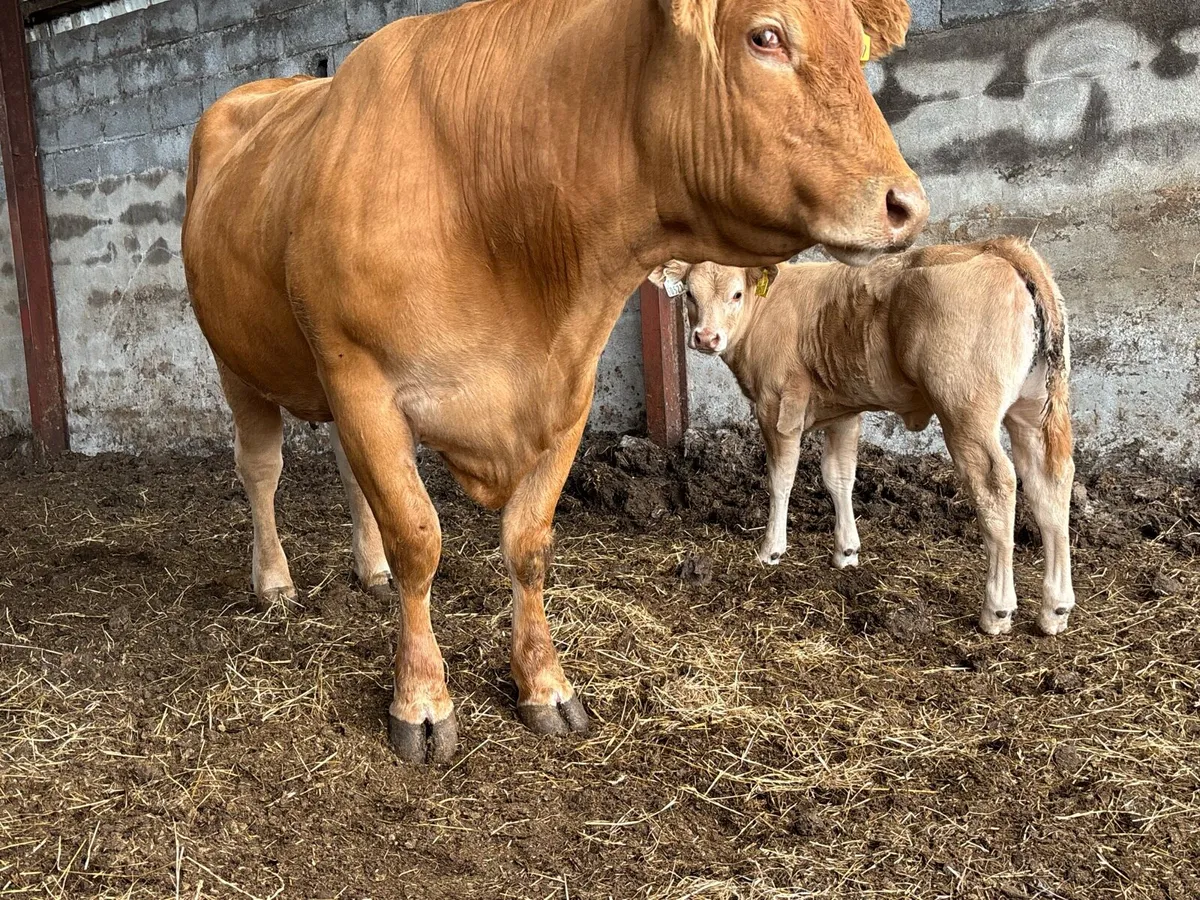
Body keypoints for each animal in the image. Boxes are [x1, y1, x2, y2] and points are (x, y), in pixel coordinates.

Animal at [182, 0, 928, 763]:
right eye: (766, 36)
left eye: (858, 50)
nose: (907, 203)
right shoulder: (360, 377)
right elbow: (418, 538)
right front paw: (421, 700)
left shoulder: (569, 392)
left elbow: (529, 543)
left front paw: (544, 684)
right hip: (237, 360)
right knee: (261, 469)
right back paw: (274, 582)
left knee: (348, 473)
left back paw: (370, 570)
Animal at [651, 239, 1075, 636]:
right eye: (690, 294)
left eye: (736, 294)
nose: (706, 337)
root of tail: (996, 248)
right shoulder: (843, 410)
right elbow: (839, 476)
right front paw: (846, 551)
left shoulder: (778, 407)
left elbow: (781, 479)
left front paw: (771, 549)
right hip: (1032, 409)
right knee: (1049, 483)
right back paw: (1055, 608)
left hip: (965, 412)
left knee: (996, 485)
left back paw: (997, 610)